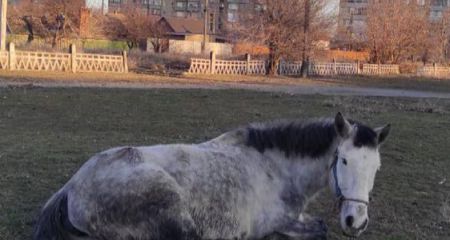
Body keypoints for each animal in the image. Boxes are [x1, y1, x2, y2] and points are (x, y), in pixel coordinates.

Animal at [32, 113, 390, 240]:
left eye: (376, 167)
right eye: (344, 160)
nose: (356, 221)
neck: (275, 169)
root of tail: (72, 188)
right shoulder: (274, 223)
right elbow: (317, 231)